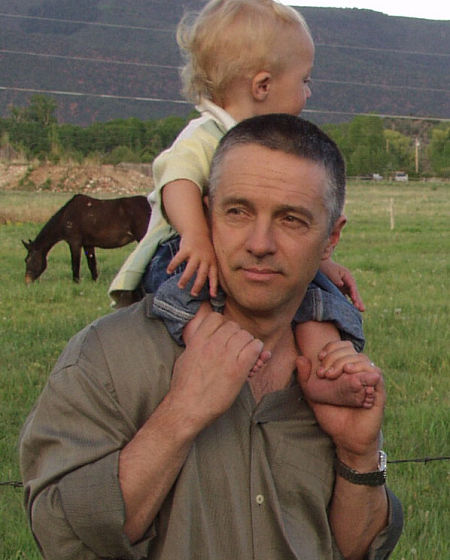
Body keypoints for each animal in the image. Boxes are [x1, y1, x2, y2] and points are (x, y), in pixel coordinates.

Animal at [22, 195, 150, 284]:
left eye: (28, 260)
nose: (27, 281)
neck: (66, 215)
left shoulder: (74, 243)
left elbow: (75, 264)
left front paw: (76, 282)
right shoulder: (88, 245)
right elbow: (91, 264)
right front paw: (94, 281)